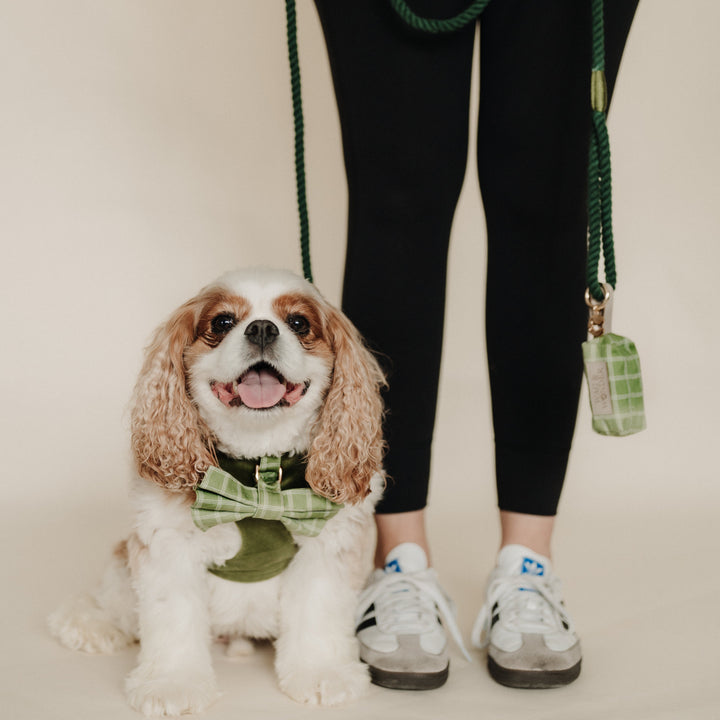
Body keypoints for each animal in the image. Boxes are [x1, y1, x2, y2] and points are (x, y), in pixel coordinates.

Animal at [47, 268, 386, 716]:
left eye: (299, 323)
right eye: (222, 322)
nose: (262, 328)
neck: (259, 475)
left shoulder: (327, 545)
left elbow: (318, 613)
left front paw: (322, 674)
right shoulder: (167, 548)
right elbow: (173, 621)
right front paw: (172, 684)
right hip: (122, 567)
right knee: (112, 601)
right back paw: (91, 624)